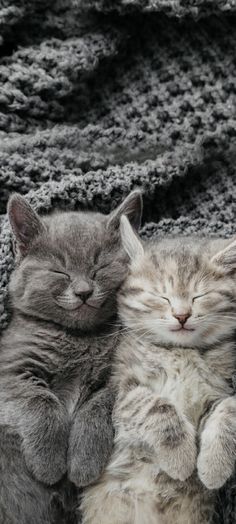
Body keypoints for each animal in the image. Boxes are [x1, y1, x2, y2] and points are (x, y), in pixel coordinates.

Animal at [0, 192, 142, 524]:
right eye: (60, 271)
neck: (79, 339)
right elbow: (41, 400)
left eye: (99, 267)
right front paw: (49, 463)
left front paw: (82, 463)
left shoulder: (120, 374)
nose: (84, 291)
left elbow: (99, 403)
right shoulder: (10, 368)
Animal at [81, 216, 236, 524]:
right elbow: (156, 405)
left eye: (200, 295)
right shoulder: (119, 392)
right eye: (160, 296)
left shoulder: (221, 387)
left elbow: (228, 410)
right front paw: (181, 458)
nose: (182, 315)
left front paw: (213, 467)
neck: (180, 352)